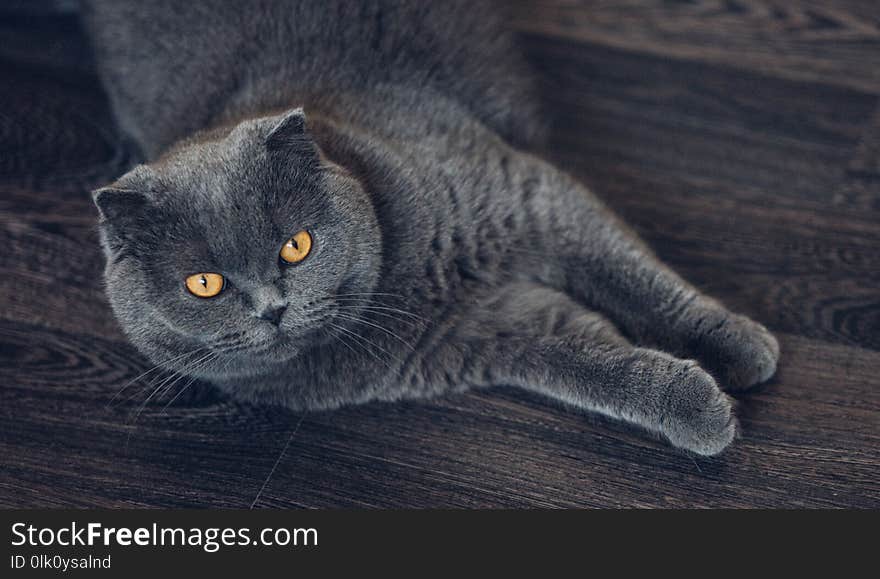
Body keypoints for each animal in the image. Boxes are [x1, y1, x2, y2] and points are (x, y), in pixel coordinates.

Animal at [82, 0, 776, 456]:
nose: (272, 308)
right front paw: (699, 408)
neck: (416, 283)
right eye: (205, 285)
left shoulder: (532, 197)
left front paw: (739, 346)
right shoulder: (483, 331)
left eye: (296, 246)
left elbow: (638, 280)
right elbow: (593, 360)